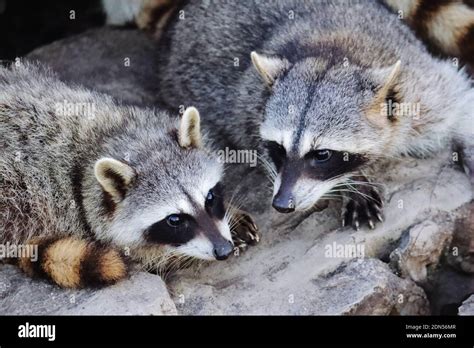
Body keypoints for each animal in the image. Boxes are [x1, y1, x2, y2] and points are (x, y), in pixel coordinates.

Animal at [0, 62, 260, 288]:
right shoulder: (62, 207)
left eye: (210, 198)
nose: (224, 250)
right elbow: (140, 255)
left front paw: (232, 214)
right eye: (174, 220)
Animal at [156, 0, 474, 231]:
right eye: (278, 148)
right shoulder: (244, 104)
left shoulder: (418, 89)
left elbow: (459, 96)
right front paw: (355, 182)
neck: (331, 53)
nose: (282, 204)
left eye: (322, 154)